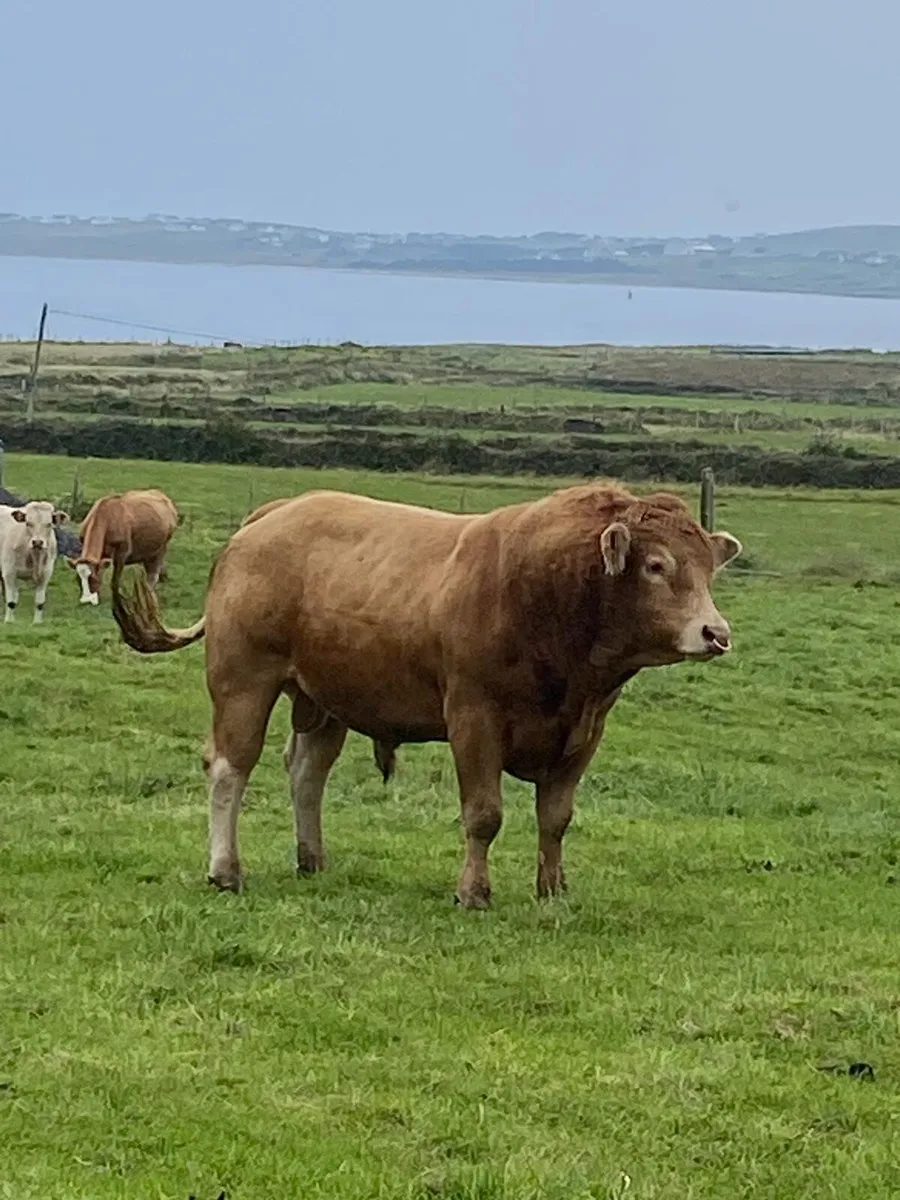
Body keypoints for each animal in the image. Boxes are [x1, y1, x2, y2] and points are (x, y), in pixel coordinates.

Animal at [111, 483, 741, 906]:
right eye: (656, 565)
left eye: (708, 569)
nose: (716, 633)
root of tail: (274, 514)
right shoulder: (473, 719)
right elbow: (484, 815)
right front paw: (473, 891)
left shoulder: (584, 733)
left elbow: (556, 818)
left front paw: (552, 888)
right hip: (244, 680)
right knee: (229, 768)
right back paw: (225, 869)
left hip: (327, 698)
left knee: (307, 774)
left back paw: (312, 858)